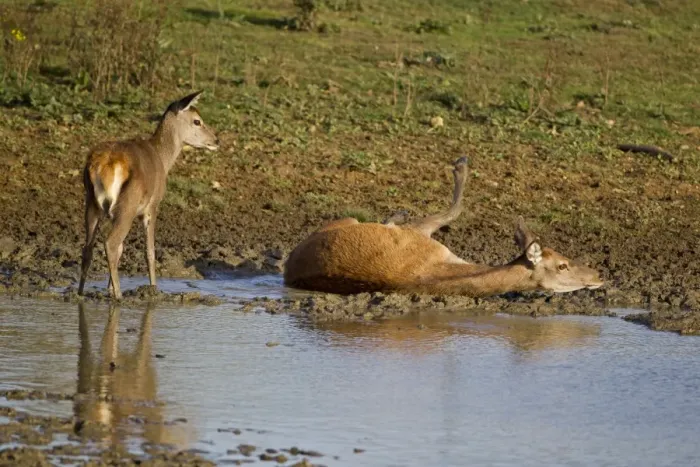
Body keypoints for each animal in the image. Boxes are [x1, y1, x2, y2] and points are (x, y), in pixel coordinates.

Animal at [77, 91, 219, 299]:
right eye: (197, 121)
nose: (216, 140)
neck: (162, 159)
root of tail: (104, 164)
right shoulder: (152, 207)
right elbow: (149, 252)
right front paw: (153, 288)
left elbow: (123, 249)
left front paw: (109, 288)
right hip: (126, 206)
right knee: (111, 243)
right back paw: (119, 296)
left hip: (92, 203)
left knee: (88, 248)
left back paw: (79, 293)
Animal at [284, 157, 604, 297]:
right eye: (562, 263)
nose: (598, 274)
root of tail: (289, 265)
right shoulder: (420, 237)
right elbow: (451, 210)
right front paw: (460, 165)